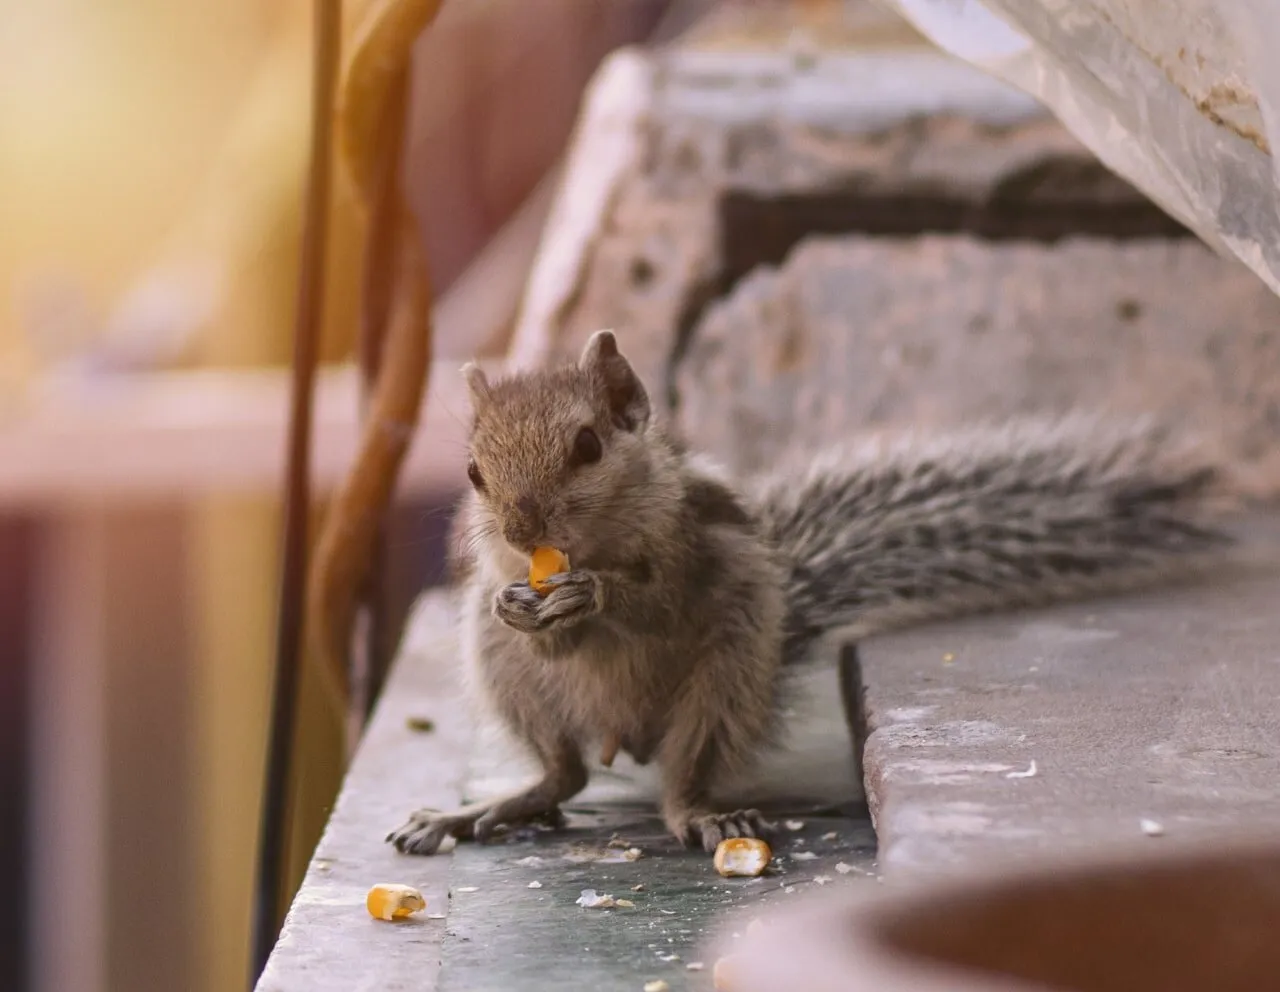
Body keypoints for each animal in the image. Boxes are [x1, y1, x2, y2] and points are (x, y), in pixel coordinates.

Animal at [387, 329, 1233, 856]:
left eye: (589, 445)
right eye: (473, 472)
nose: (523, 526)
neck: (587, 544)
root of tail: (624, 737)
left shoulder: (692, 548)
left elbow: (658, 602)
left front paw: (592, 594)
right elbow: (542, 632)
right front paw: (521, 604)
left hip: (726, 674)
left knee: (679, 780)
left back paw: (702, 815)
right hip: (507, 676)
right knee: (562, 775)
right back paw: (474, 810)